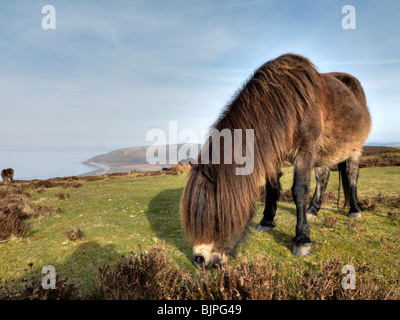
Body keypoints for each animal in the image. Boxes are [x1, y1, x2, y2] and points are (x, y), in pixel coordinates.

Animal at [180, 53, 370, 268]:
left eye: (214, 215)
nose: (199, 260)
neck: (290, 103)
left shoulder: (305, 149)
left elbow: (299, 190)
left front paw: (302, 239)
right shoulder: (274, 154)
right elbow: (272, 187)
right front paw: (266, 221)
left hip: (355, 149)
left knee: (351, 175)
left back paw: (354, 209)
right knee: (323, 177)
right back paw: (313, 210)